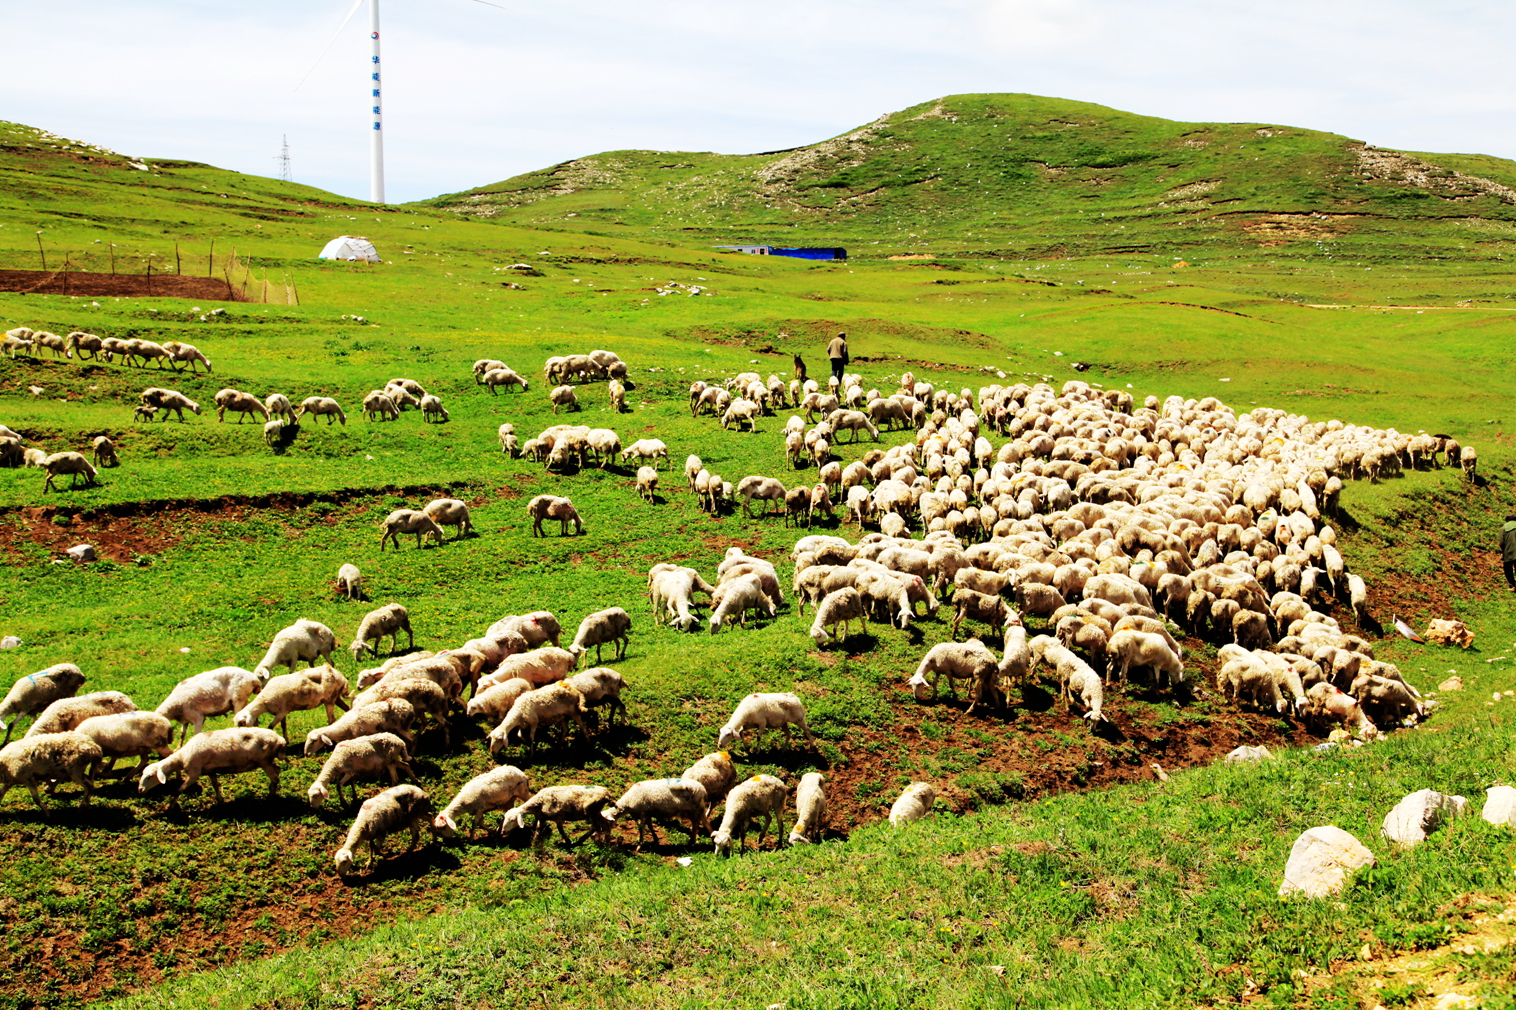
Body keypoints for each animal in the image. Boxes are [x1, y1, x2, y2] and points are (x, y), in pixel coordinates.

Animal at [137, 724, 285, 800]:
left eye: (150, 776)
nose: (140, 790)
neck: (182, 757)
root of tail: (280, 739)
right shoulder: (210, 770)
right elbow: (215, 785)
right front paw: (220, 800)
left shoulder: (194, 773)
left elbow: (179, 790)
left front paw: (172, 807)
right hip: (267, 760)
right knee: (277, 770)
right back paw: (271, 790)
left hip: (264, 760)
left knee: (275, 778)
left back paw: (270, 798)